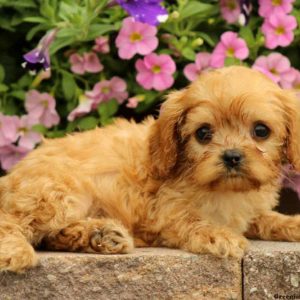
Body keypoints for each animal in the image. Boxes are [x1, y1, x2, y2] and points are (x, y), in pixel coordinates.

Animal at [1, 65, 300, 272]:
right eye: (203, 133)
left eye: (261, 130)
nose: (232, 157)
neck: (227, 192)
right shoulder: (165, 211)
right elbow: (192, 220)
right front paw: (219, 235)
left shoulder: (249, 212)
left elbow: (268, 218)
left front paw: (292, 224)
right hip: (56, 195)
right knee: (12, 221)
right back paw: (16, 251)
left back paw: (100, 236)